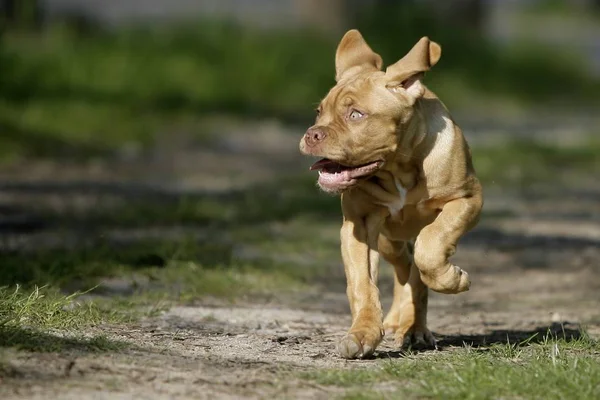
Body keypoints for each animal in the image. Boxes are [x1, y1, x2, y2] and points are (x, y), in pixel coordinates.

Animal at [298, 29, 482, 358]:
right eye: (319, 112)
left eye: (356, 115)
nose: (312, 134)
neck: (399, 169)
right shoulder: (358, 226)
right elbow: (362, 284)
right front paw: (362, 334)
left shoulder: (467, 199)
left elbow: (431, 246)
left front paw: (452, 279)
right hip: (388, 241)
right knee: (405, 267)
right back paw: (401, 322)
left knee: (416, 266)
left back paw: (415, 329)